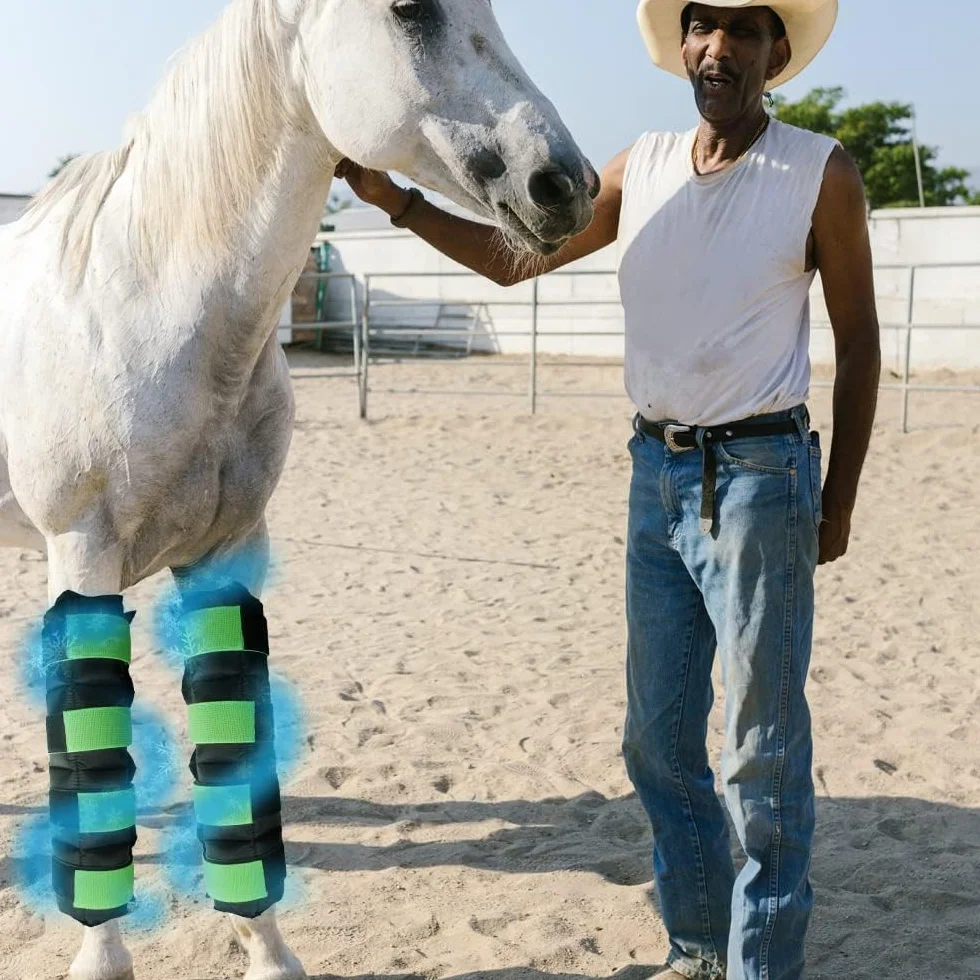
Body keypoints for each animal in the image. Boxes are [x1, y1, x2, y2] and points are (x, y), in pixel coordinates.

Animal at [0, 1, 597, 978]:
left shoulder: (227, 555)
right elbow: (96, 773)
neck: (145, 304)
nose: (566, 184)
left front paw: (268, 952)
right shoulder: (82, 557)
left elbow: (235, 760)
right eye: (409, 10)